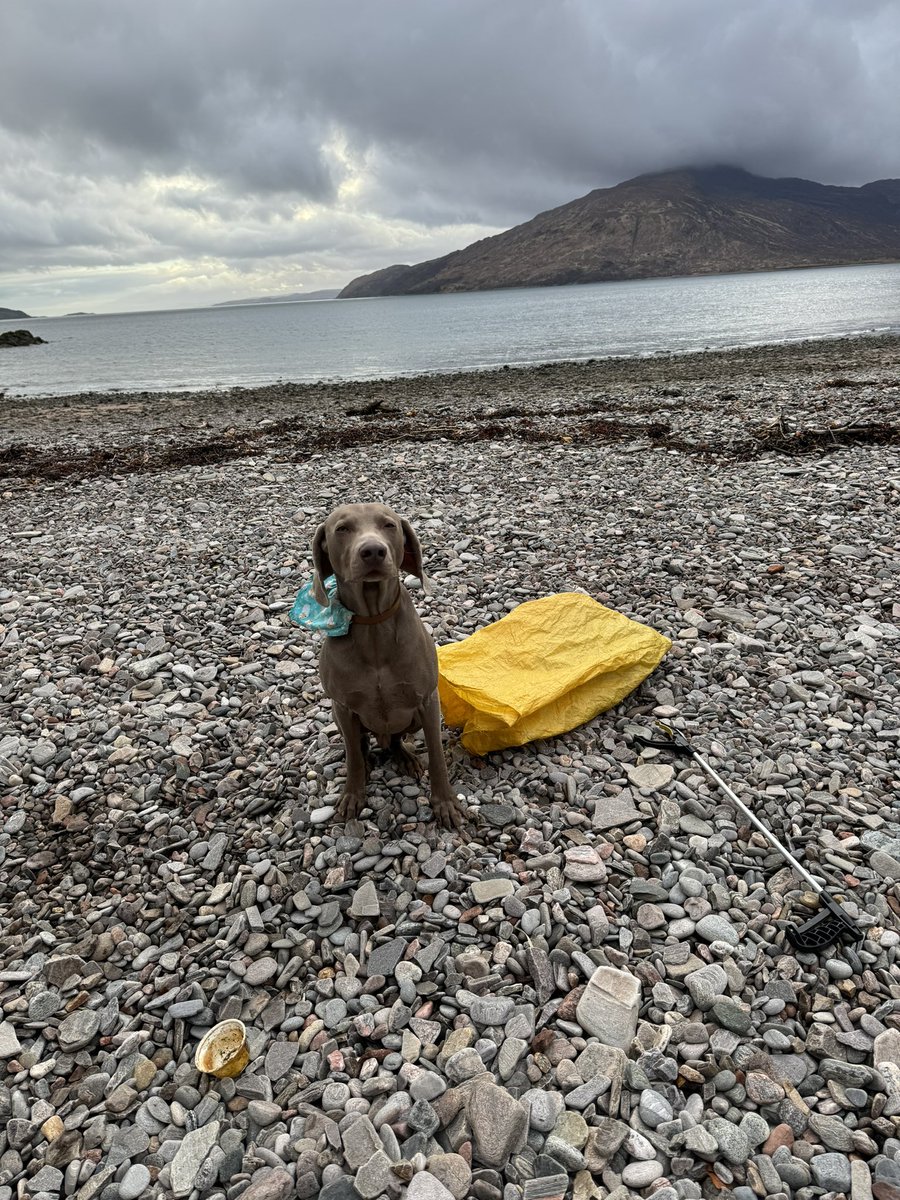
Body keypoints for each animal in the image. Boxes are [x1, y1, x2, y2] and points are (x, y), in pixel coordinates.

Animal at [312, 501, 465, 830]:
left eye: (389, 525)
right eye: (342, 528)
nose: (372, 551)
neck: (373, 625)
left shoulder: (427, 701)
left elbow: (437, 754)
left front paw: (445, 803)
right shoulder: (343, 705)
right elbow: (352, 758)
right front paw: (353, 794)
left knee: (394, 740)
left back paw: (405, 757)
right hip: (339, 717)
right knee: (358, 745)